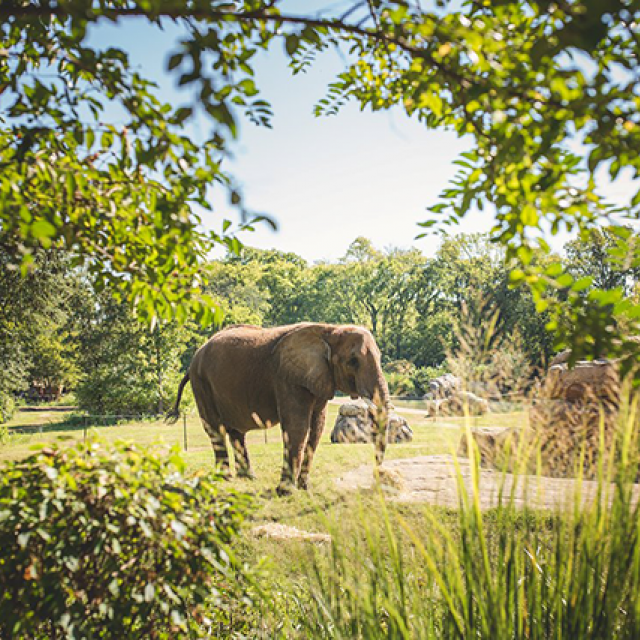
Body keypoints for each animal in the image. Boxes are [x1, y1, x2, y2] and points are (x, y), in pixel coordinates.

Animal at [167, 322, 390, 495]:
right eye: (353, 361)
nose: (377, 476)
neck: (330, 330)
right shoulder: (287, 379)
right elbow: (297, 428)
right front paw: (286, 492)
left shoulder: (319, 379)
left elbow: (317, 427)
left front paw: (304, 488)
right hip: (201, 383)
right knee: (215, 430)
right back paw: (226, 479)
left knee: (236, 433)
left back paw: (248, 478)